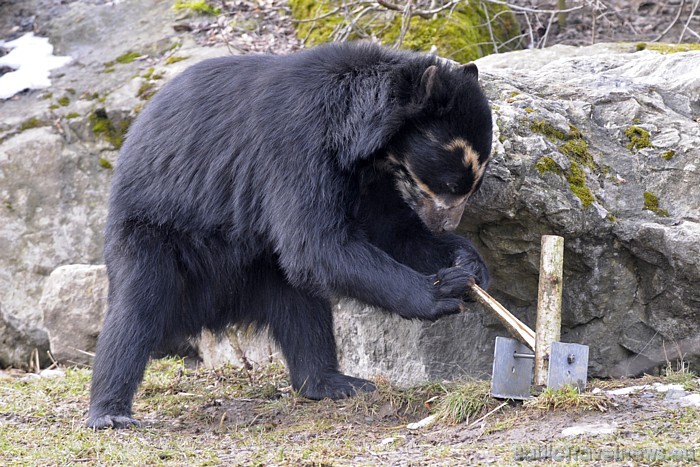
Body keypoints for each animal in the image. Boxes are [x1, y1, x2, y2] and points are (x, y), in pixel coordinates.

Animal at [87, 42, 492, 430]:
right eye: (449, 183)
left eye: (473, 184)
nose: (447, 224)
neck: (361, 139)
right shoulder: (294, 150)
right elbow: (315, 244)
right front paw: (443, 291)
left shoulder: (365, 176)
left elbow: (393, 230)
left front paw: (469, 263)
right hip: (153, 231)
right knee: (134, 310)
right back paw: (110, 413)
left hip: (264, 264)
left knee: (304, 313)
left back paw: (334, 383)